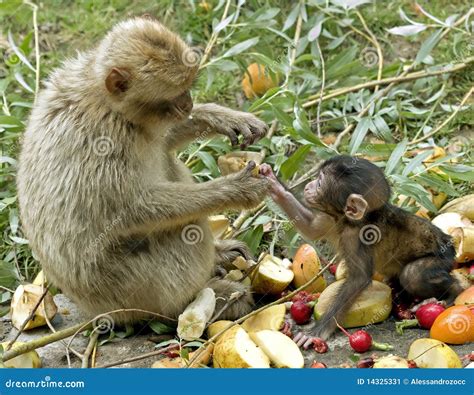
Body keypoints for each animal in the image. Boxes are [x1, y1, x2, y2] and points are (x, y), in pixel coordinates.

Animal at [17, 17, 270, 324]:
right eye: (174, 94)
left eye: (189, 87)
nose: (188, 104)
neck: (109, 104)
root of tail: (92, 308)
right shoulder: (103, 141)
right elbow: (130, 209)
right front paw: (236, 189)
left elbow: (163, 139)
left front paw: (223, 117)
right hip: (132, 291)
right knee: (184, 228)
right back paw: (201, 299)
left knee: (164, 157)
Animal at [262, 155, 462, 340]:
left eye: (320, 183)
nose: (308, 186)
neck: (352, 221)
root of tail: (449, 244)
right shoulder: (333, 219)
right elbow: (311, 228)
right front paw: (273, 182)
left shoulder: (357, 238)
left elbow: (358, 279)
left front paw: (316, 332)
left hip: (441, 258)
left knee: (413, 274)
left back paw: (452, 292)